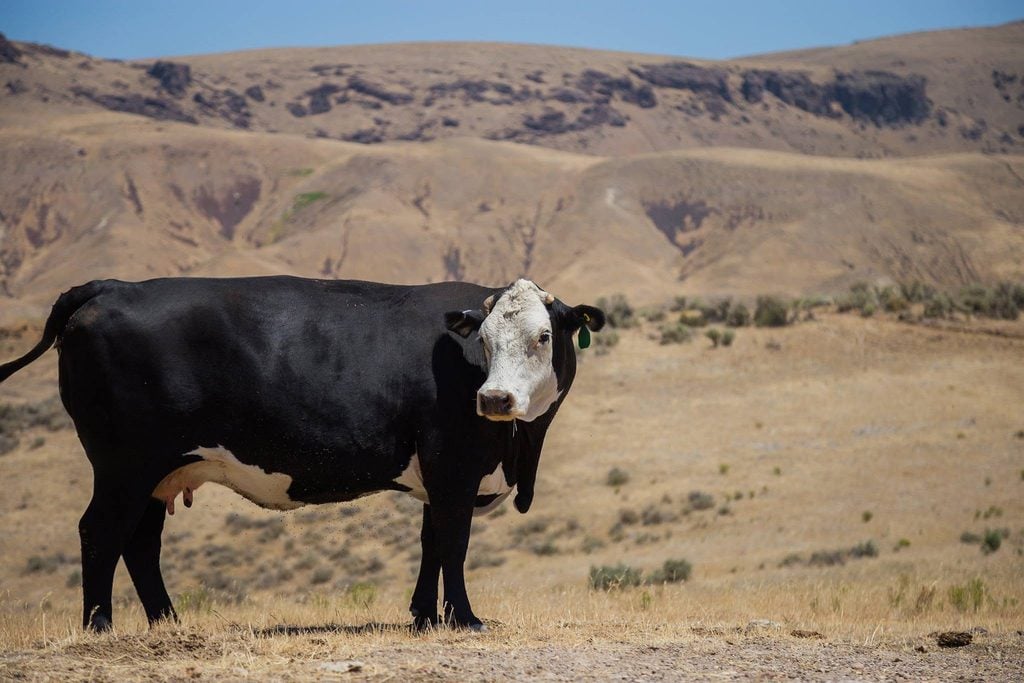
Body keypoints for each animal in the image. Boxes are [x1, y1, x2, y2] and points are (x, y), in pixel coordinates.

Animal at [0, 276, 604, 632]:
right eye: (482, 341)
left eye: (544, 336)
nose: (494, 398)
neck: (519, 446)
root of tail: (109, 286)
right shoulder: (452, 468)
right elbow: (453, 545)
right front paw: (464, 619)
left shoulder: (437, 478)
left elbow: (431, 544)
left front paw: (424, 617)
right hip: (124, 465)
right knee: (101, 532)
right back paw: (99, 627)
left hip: (160, 470)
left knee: (141, 542)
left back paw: (168, 624)